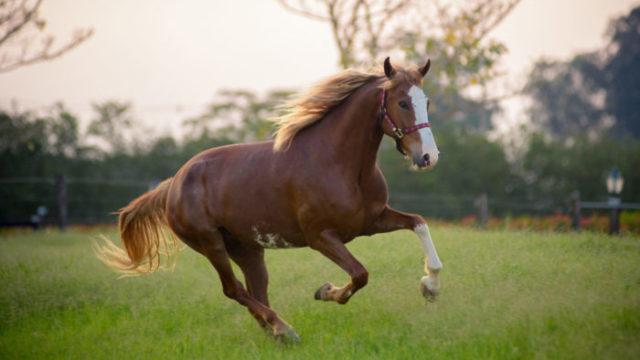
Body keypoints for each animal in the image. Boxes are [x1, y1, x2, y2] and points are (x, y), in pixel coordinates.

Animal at [97, 57, 442, 342]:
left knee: (256, 292)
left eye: (425, 101)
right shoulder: (321, 237)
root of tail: (172, 184)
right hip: (211, 244)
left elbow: (419, 224)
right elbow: (360, 274)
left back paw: (276, 332)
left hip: (248, 249)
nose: (428, 157)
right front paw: (325, 291)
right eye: (402, 103)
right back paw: (284, 328)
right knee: (233, 289)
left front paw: (430, 287)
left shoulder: (371, 221)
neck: (339, 163)